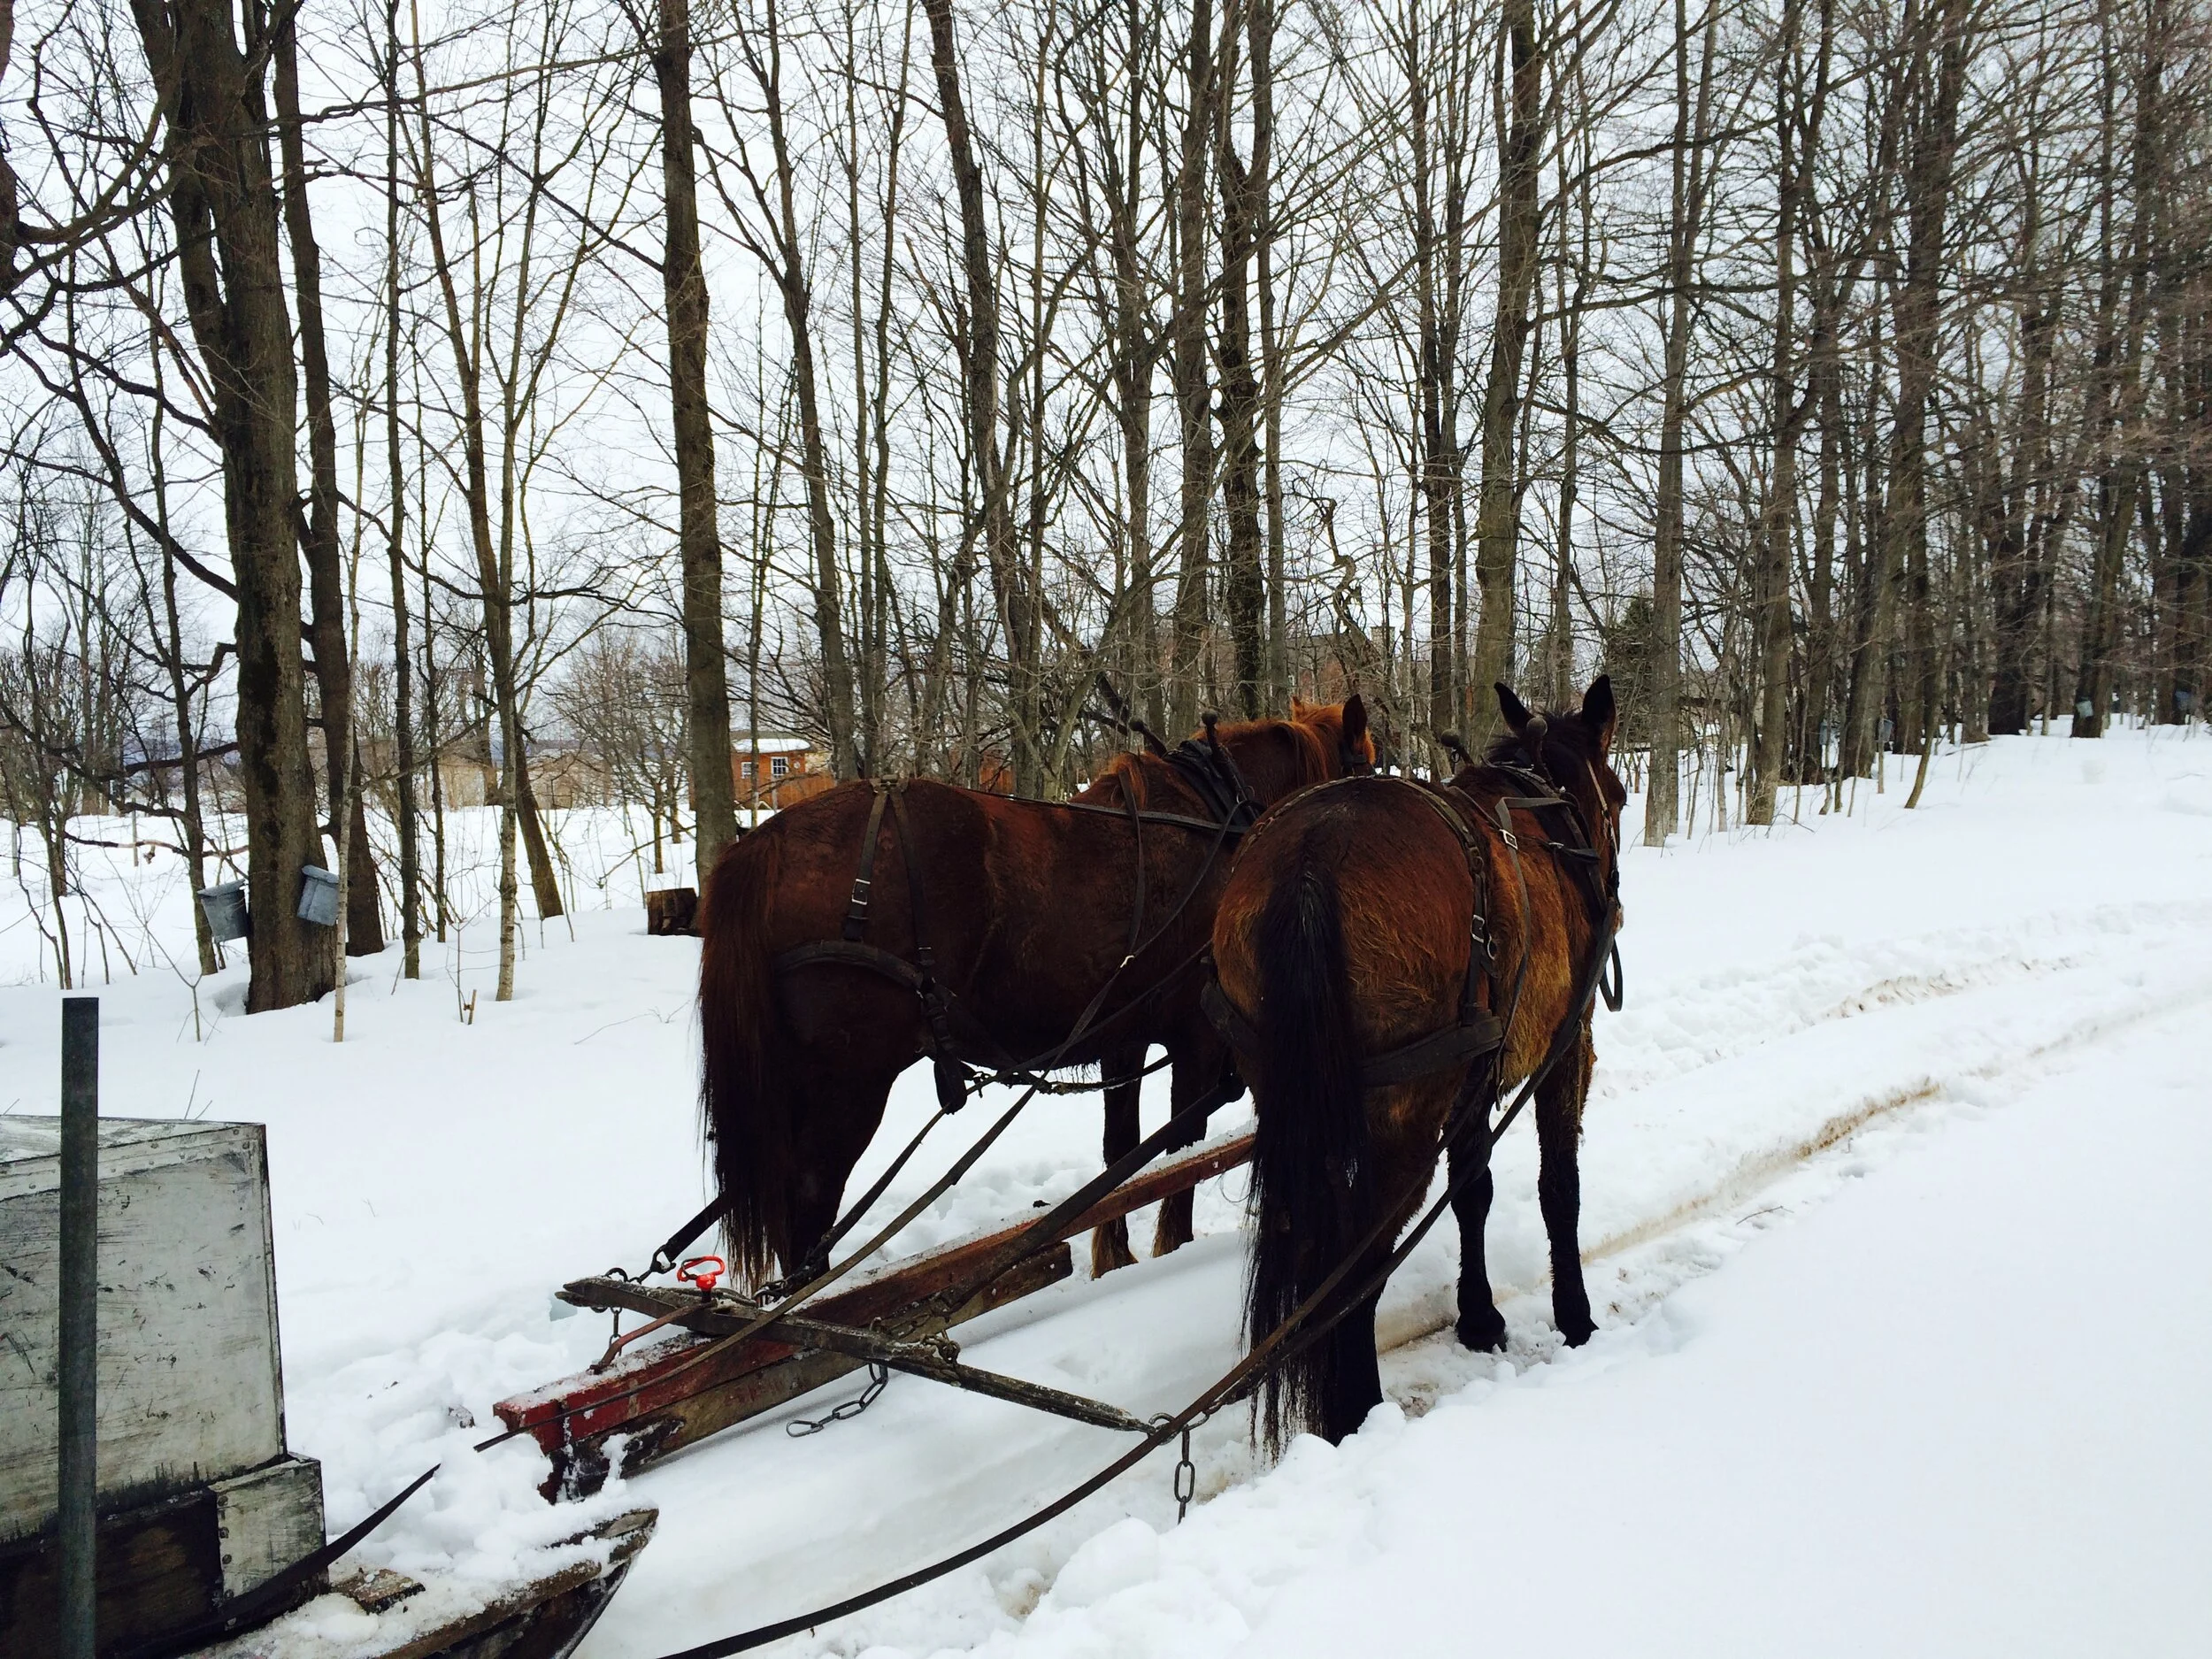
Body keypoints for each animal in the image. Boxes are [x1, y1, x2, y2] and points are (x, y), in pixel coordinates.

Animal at [697, 699, 1375, 1288]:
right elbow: (1181, 1152)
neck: (1218, 819)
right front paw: (1170, 1250)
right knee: (809, 1206)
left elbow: (1122, 1154)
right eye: (1370, 772)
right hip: (850, 1086)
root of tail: (767, 843)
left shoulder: (1122, 1037)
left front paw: (1115, 1260)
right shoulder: (1198, 1039)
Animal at [1208, 676, 1625, 1446]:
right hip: (1403, 1116)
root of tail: (1309, 862)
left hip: (1293, 1094)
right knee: (1356, 1267)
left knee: (1306, 1239)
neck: (1550, 808)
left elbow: (1473, 1190)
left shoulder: (1474, 1071)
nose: (1610, 889)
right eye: (1616, 794)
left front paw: (1479, 1315)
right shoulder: (1565, 1046)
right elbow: (1560, 1188)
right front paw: (1575, 1316)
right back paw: (1358, 1417)